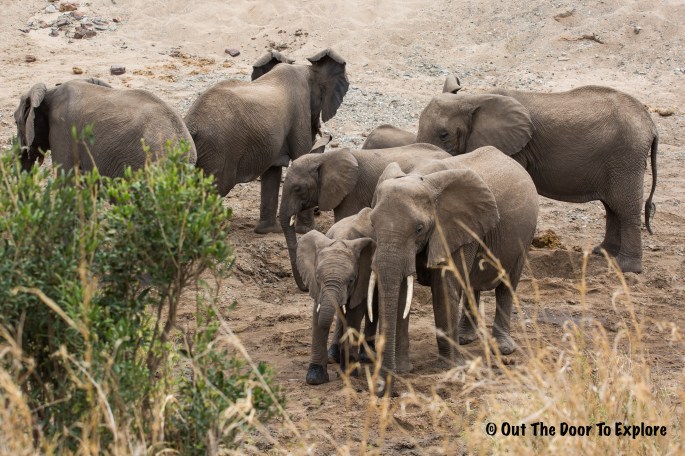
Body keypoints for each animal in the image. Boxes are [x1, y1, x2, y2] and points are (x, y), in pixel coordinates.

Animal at [184, 49, 349, 234]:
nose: (327, 136)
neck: (306, 70)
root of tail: (191, 124)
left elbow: (272, 170)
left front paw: (267, 231)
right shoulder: (300, 113)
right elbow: (300, 157)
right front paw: (307, 231)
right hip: (218, 150)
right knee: (216, 187)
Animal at [367, 146, 538, 395]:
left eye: (419, 229)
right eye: (372, 223)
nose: (384, 391)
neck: (421, 177)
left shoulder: (455, 227)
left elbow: (443, 289)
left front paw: (449, 368)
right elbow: (401, 292)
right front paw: (403, 369)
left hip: (524, 237)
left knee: (507, 284)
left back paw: (502, 349)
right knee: (471, 285)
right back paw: (465, 338)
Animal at [415, 84, 658, 274]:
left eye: (444, 135)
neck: (473, 98)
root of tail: (651, 125)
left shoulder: (516, 148)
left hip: (626, 158)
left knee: (625, 208)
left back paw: (625, 268)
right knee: (612, 206)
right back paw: (603, 252)